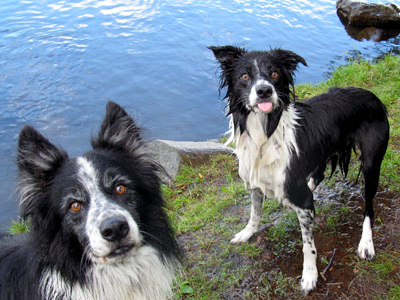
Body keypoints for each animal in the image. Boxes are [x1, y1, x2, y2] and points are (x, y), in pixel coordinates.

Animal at [211, 45, 390, 294]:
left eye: (274, 74)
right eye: (244, 76)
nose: (264, 91)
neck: (264, 132)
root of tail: (372, 95)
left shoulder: (303, 200)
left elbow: (308, 245)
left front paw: (310, 275)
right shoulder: (255, 185)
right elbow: (254, 213)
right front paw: (247, 233)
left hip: (371, 164)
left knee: (369, 207)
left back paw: (366, 243)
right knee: (319, 174)